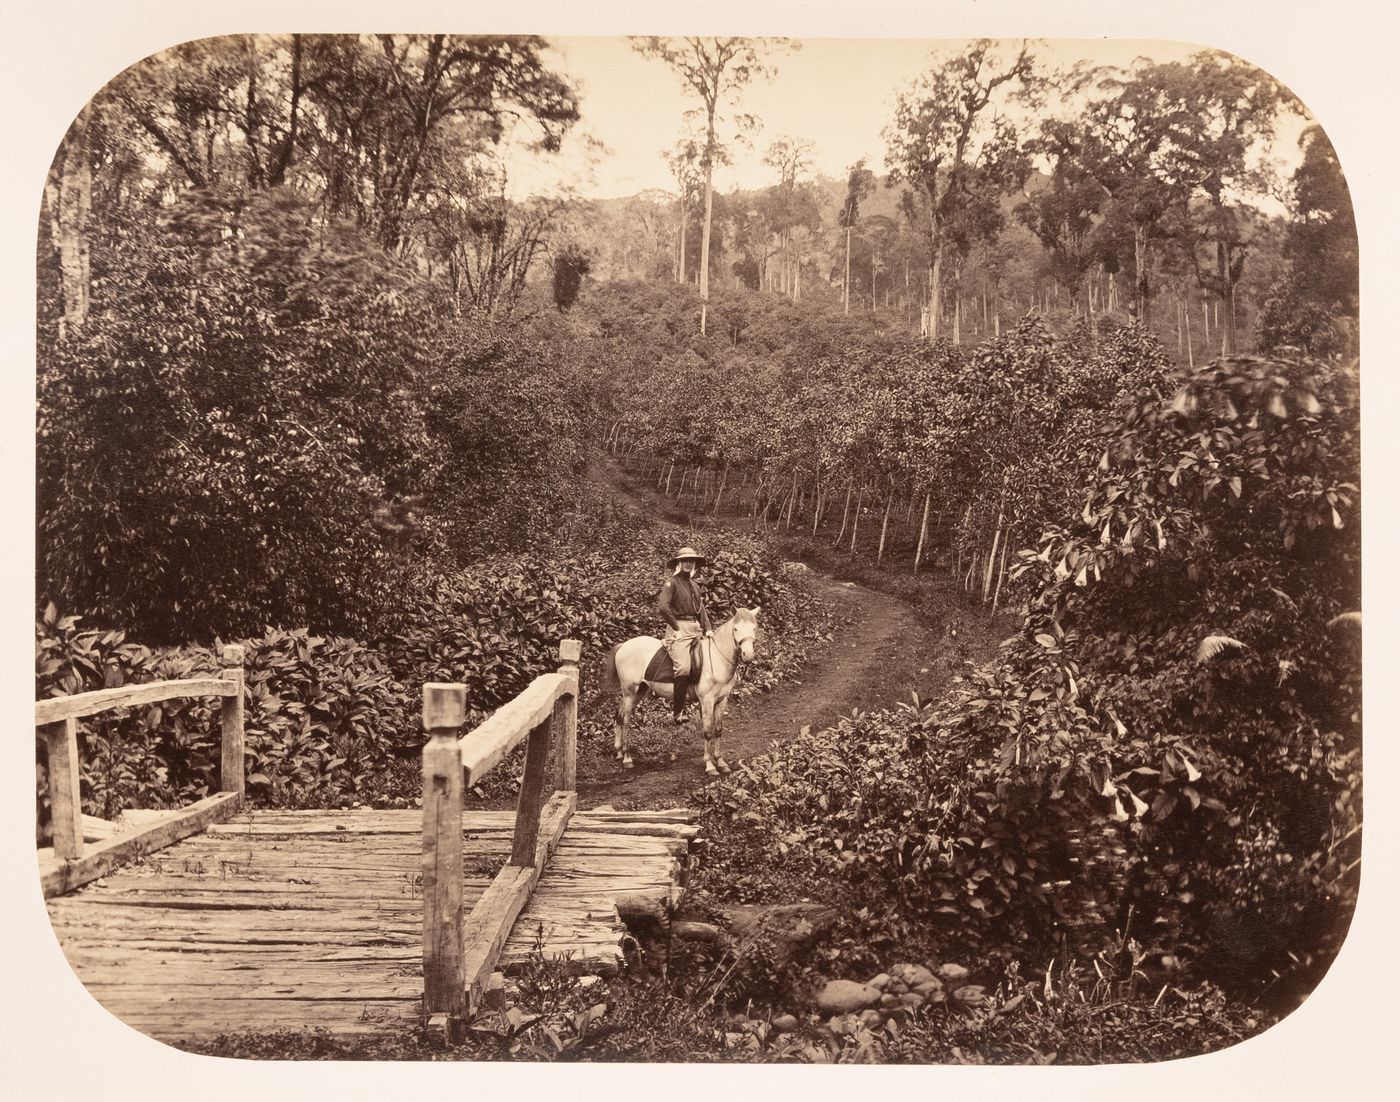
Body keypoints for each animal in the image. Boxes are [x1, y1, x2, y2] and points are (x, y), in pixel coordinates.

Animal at [599, 607, 761, 778]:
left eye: (754, 628)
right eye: (736, 629)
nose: (748, 655)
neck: (717, 659)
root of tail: (624, 646)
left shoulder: (722, 700)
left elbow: (718, 730)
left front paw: (721, 762)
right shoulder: (707, 701)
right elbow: (708, 732)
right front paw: (710, 765)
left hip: (638, 692)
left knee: (619, 715)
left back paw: (618, 752)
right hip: (630, 692)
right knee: (626, 721)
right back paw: (627, 758)